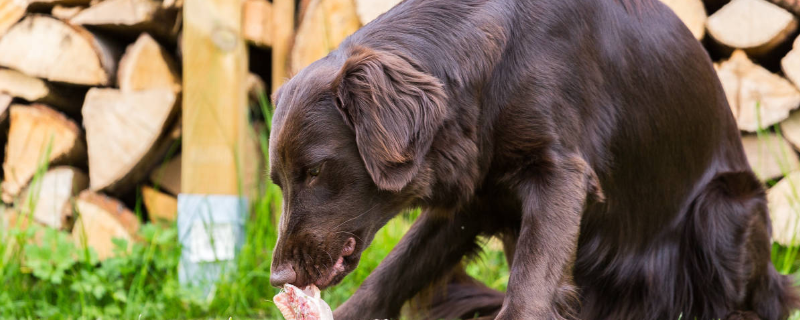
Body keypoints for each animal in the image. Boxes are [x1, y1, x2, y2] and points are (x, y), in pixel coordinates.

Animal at [270, 0, 800, 318]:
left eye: (314, 171)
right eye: (278, 182)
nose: (279, 277)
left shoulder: (561, 173)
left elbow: (529, 288)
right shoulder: (473, 200)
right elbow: (389, 276)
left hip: (724, 206)